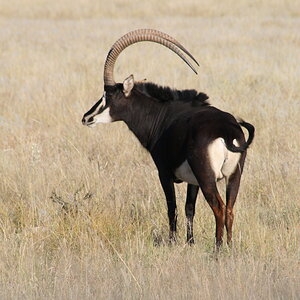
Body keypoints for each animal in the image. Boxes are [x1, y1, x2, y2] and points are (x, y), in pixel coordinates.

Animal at [82, 28, 255, 248]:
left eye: (109, 96)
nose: (87, 118)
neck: (161, 115)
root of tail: (227, 131)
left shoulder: (164, 173)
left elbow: (172, 208)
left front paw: (172, 242)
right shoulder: (192, 181)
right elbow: (189, 208)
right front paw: (190, 242)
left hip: (207, 178)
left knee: (219, 208)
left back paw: (217, 248)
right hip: (233, 177)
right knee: (230, 209)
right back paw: (229, 247)